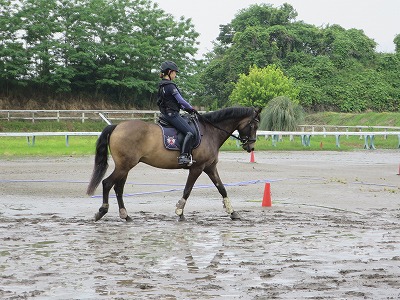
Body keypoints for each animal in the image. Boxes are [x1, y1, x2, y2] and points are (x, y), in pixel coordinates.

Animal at [86, 106, 262, 221]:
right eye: (254, 125)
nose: (251, 147)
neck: (210, 132)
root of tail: (116, 126)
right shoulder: (197, 168)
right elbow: (187, 190)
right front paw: (179, 211)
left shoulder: (210, 167)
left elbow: (222, 188)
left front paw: (233, 212)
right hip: (124, 166)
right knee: (107, 183)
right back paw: (102, 211)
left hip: (125, 167)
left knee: (118, 188)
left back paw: (125, 215)